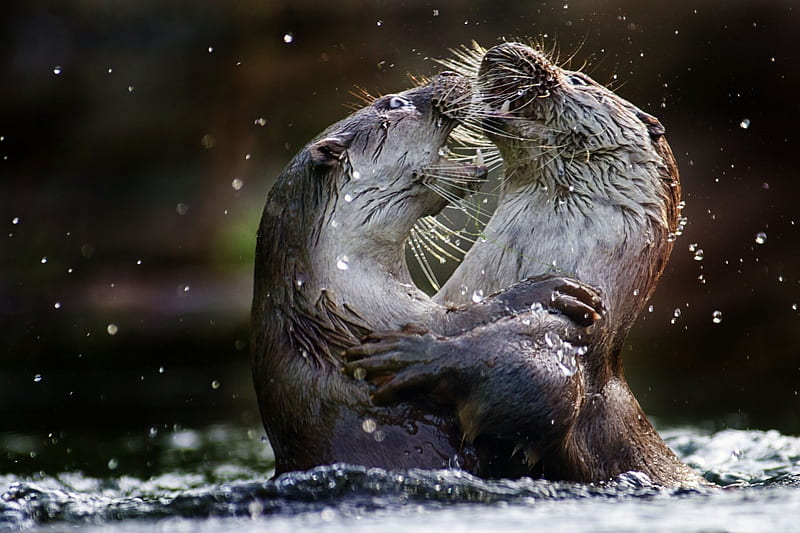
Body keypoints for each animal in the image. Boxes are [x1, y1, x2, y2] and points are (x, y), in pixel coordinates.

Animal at [253, 41, 704, 486]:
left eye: (577, 80)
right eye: (394, 103)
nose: (499, 50)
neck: (335, 310)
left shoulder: (573, 341)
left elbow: (541, 389)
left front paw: (412, 352)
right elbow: (497, 348)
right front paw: (543, 290)